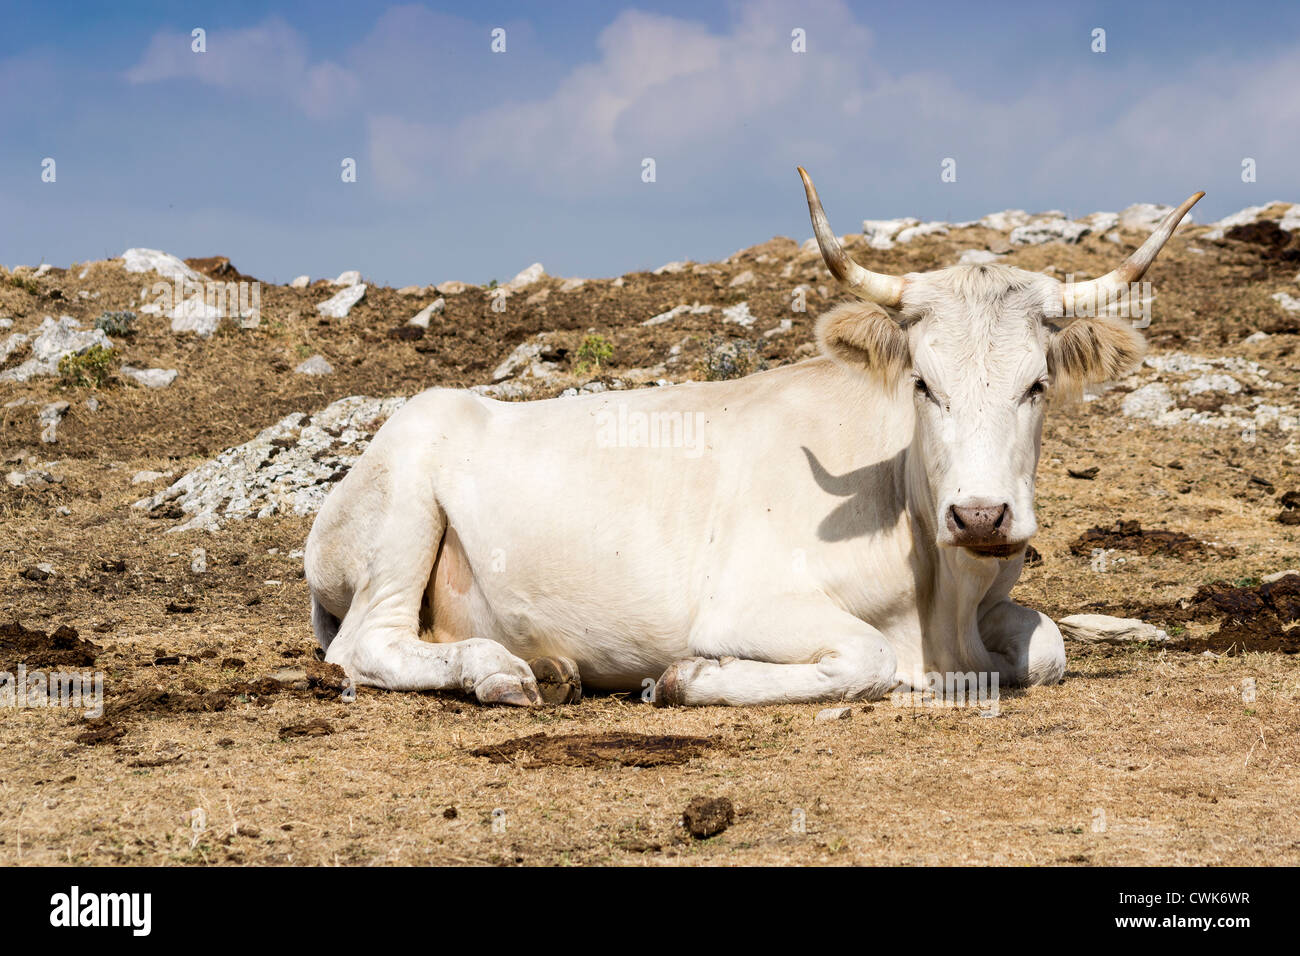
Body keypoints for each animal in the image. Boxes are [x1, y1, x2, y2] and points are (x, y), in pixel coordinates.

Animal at [304, 170, 1201, 707]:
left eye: (1037, 385)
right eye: (923, 383)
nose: (980, 515)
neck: (940, 602)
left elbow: (1047, 645)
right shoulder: (746, 602)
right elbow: (865, 660)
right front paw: (685, 678)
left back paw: (551, 665)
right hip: (401, 519)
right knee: (366, 646)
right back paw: (497, 670)